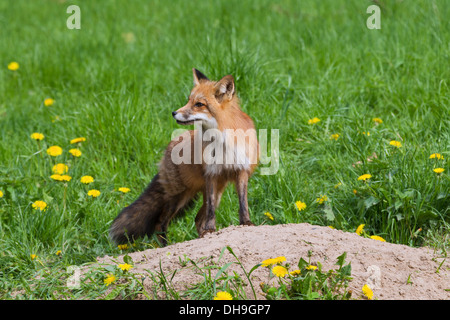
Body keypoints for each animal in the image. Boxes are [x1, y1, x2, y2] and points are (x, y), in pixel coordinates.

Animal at [110, 68, 260, 245]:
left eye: (199, 104)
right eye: (188, 100)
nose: (174, 113)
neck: (222, 141)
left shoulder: (241, 170)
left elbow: (243, 203)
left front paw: (246, 223)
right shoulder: (211, 173)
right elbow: (211, 212)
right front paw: (211, 230)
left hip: (213, 193)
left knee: (197, 219)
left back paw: (200, 237)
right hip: (179, 196)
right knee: (161, 222)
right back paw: (166, 246)